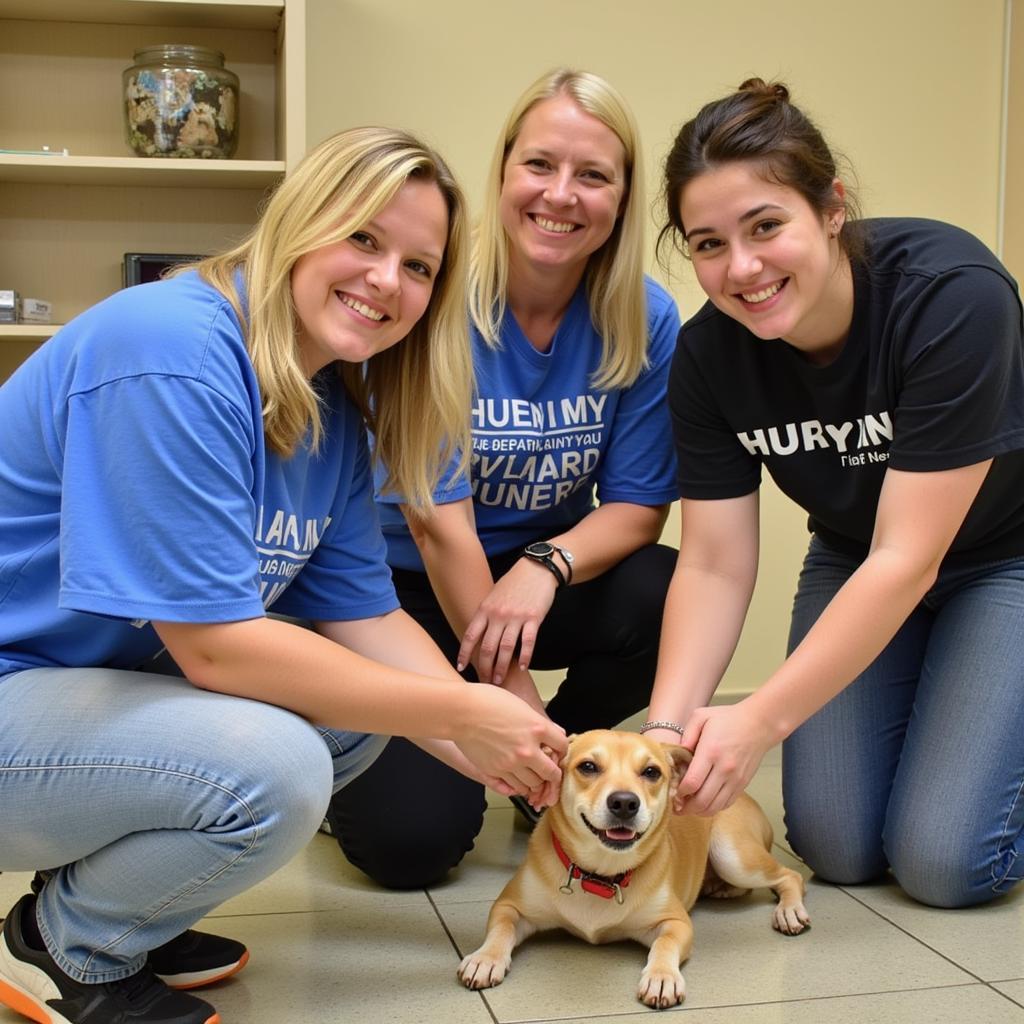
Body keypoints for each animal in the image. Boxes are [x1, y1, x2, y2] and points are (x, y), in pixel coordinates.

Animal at [460, 729, 811, 1007]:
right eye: (588, 766)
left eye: (651, 772)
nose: (625, 803)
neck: (601, 874)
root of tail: (743, 795)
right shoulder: (509, 905)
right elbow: (501, 928)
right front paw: (485, 958)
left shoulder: (676, 922)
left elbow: (665, 943)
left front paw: (661, 976)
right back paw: (718, 887)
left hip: (733, 853)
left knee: (790, 876)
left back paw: (789, 911)